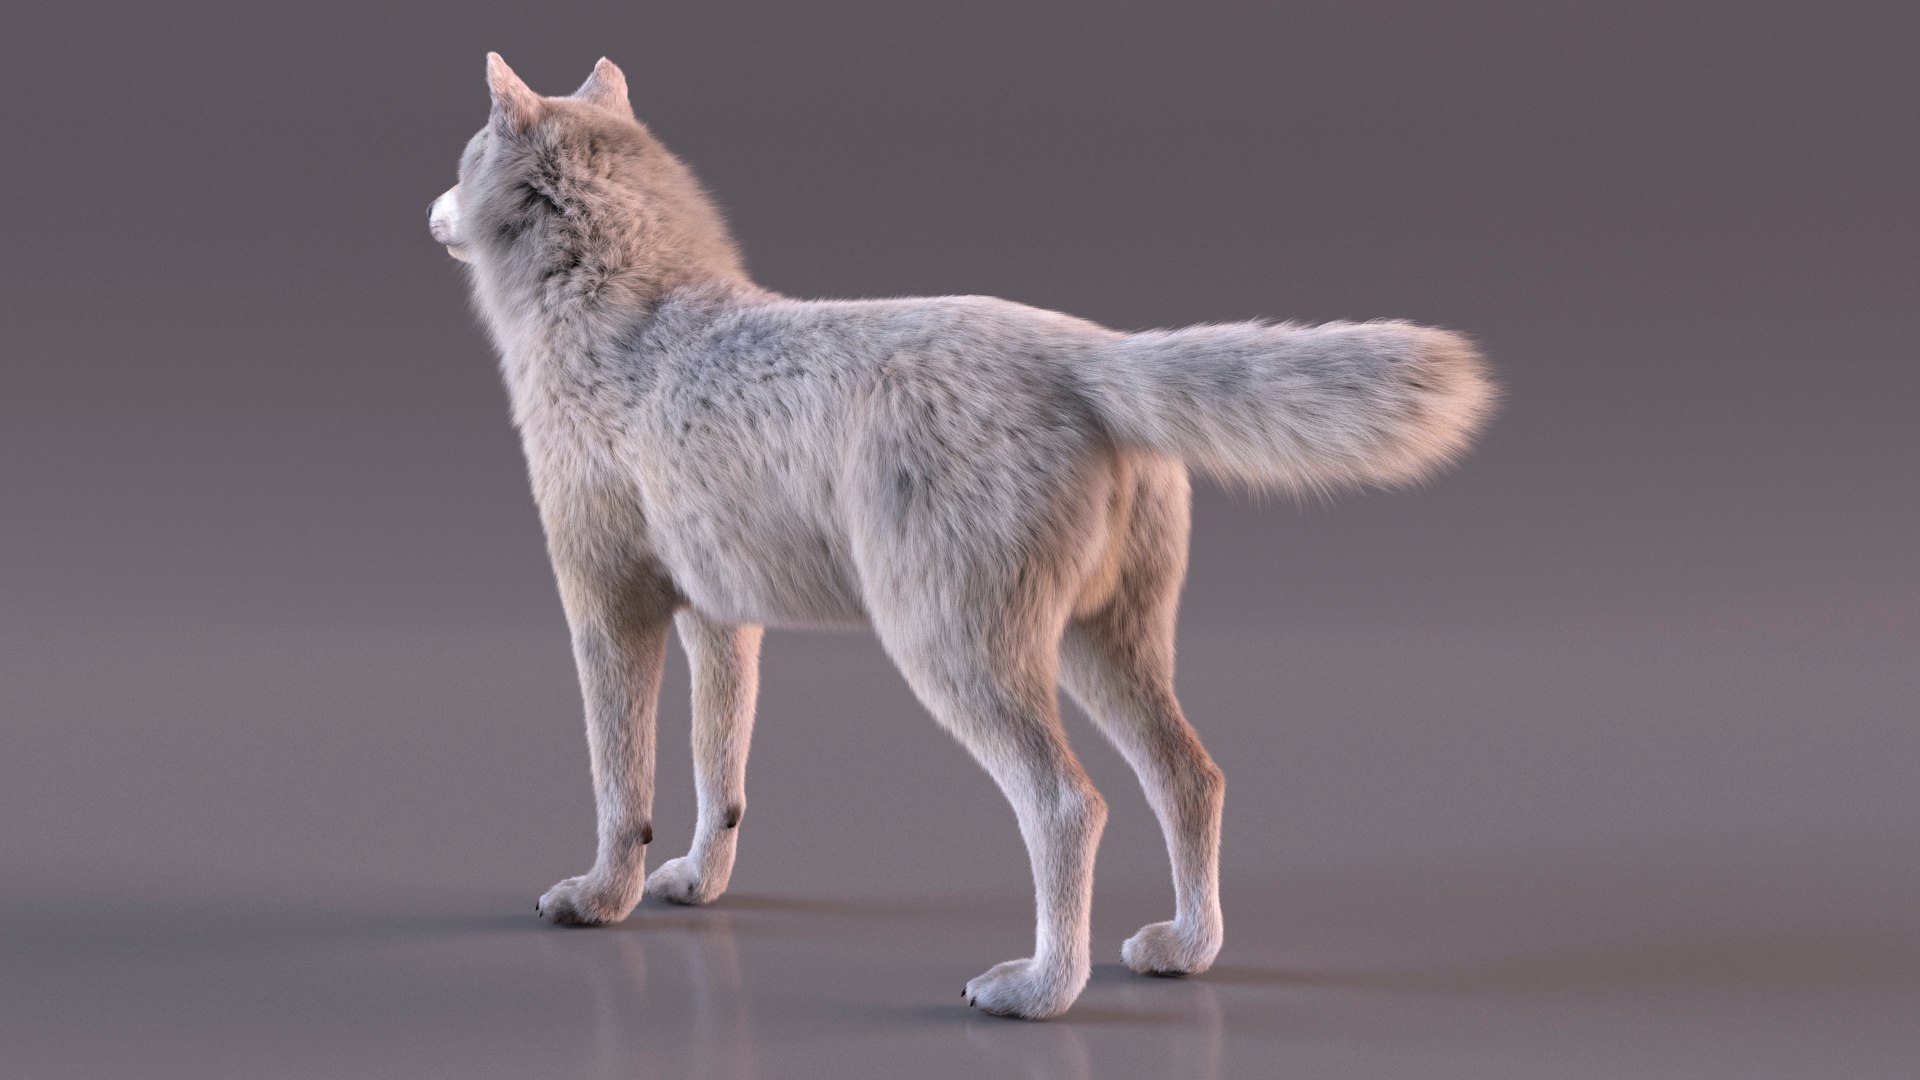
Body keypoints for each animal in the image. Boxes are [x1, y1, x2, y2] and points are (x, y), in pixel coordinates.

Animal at [429, 53, 1495, 1020]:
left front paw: (598, 900)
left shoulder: (608, 611)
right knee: (1192, 778)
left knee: (1070, 806)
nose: (430, 209)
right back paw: (1183, 952)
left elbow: (623, 785)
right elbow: (716, 774)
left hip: (953, 656)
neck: (623, 312)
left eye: (467, 151)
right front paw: (695, 884)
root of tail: (1088, 355)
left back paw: (1040, 992)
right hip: (1102, 651)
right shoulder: (720, 624)